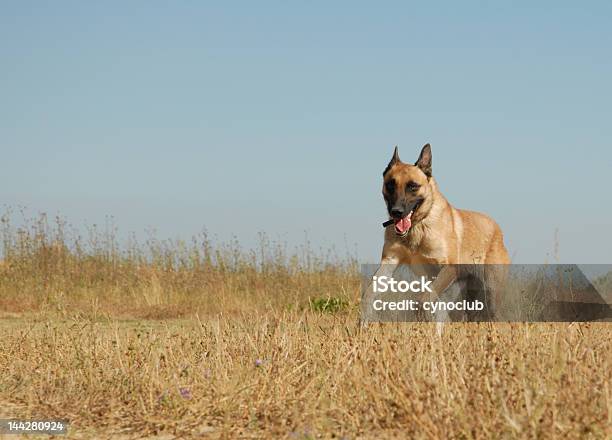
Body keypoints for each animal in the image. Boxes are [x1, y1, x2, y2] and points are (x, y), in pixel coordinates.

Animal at [368, 145, 512, 324]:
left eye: (413, 186)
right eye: (390, 185)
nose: (396, 212)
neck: (418, 226)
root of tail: (497, 229)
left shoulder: (448, 268)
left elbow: (423, 298)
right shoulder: (389, 262)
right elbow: (369, 292)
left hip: (491, 292)